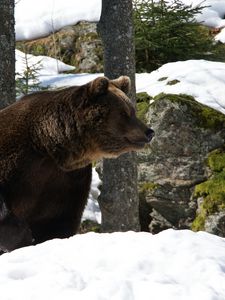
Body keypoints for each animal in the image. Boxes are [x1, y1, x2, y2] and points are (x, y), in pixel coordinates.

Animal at [0, 76, 154, 252]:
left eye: (132, 110)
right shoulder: (16, 157)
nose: (149, 132)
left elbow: (59, 218)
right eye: (124, 112)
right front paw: (23, 236)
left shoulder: (66, 179)